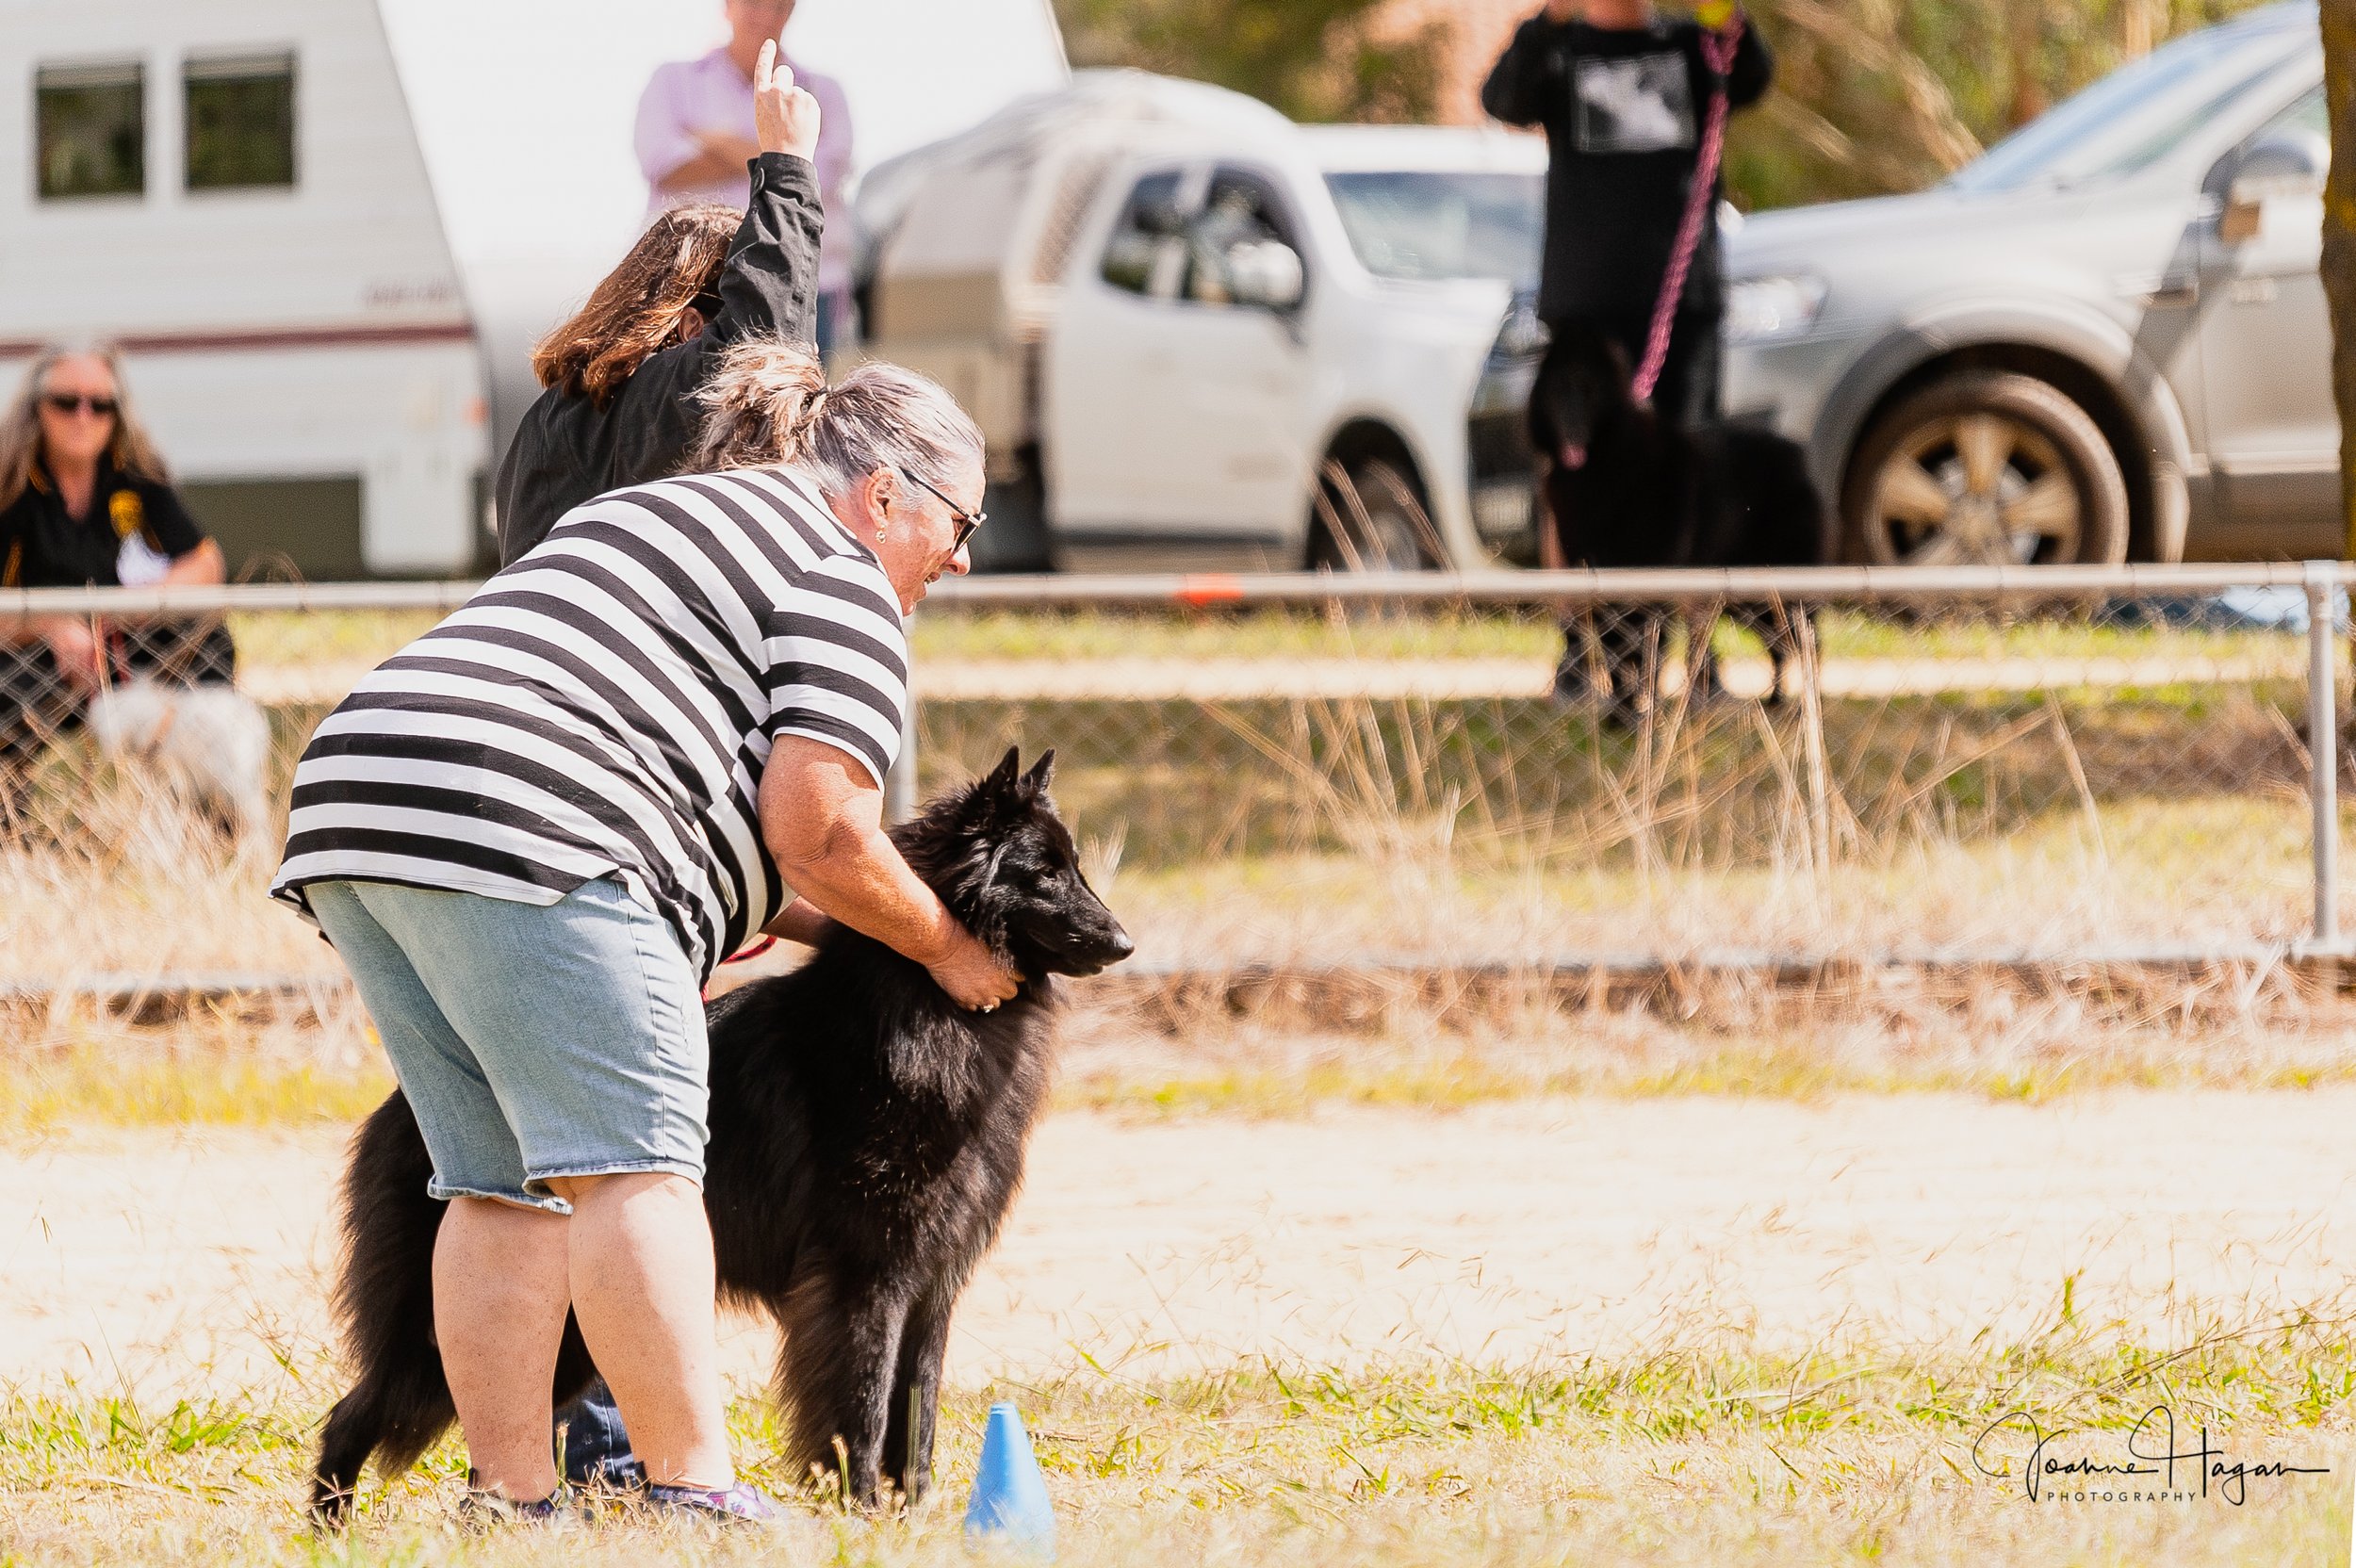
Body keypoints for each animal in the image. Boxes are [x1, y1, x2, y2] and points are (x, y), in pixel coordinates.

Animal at [308, 743, 1136, 1516]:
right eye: (1044, 873)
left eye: (1074, 866)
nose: (1124, 943)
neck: (922, 1002)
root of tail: (398, 1109)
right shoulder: (866, 1276)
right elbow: (866, 1407)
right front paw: (864, 1510)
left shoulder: (932, 1279)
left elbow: (919, 1410)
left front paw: (918, 1516)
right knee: (352, 1416)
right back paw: (332, 1529)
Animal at [1517, 324, 1828, 725]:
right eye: (1558, 392)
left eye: (1589, 392)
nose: (1571, 430)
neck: (1610, 464)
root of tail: (1798, 454)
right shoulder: (1601, 588)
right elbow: (1616, 659)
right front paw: (1618, 720)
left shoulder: (1649, 592)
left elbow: (1642, 658)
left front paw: (1638, 717)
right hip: (1746, 598)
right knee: (1781, 645)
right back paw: (1775, 703)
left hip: (1778, 585)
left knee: (1807, 642)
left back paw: (1805, 706)